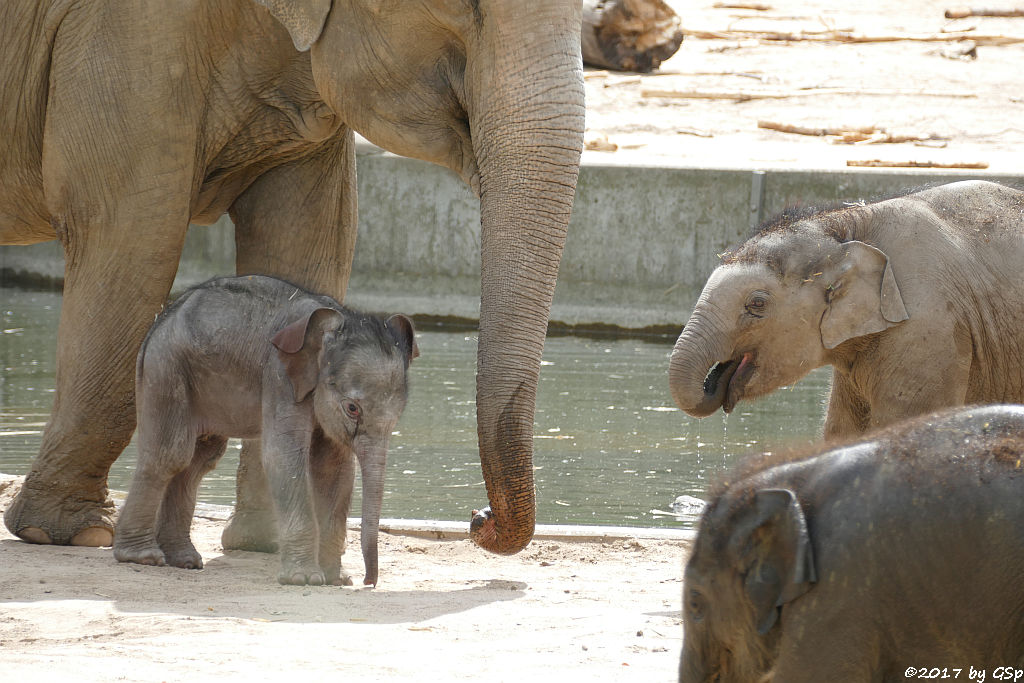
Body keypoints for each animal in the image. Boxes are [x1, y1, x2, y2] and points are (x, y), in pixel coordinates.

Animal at [2, 0, 585, 557]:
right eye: (467, 8)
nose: (477, 519)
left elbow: (309, 239)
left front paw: (270, 543)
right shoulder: (127, 40)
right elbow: (133, 239)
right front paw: (67, 532)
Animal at [112, 274, 415, 589]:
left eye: (399, 412)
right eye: (353, 408)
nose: (369, 582)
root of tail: (160, 319)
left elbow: (335, 469)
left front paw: (335, 579)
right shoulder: (279, 376)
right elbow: (283, 456)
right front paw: (303, 579)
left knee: (198, 460)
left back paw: (184, 560)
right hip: (166, 370)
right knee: (171, 455)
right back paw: (143, 557)